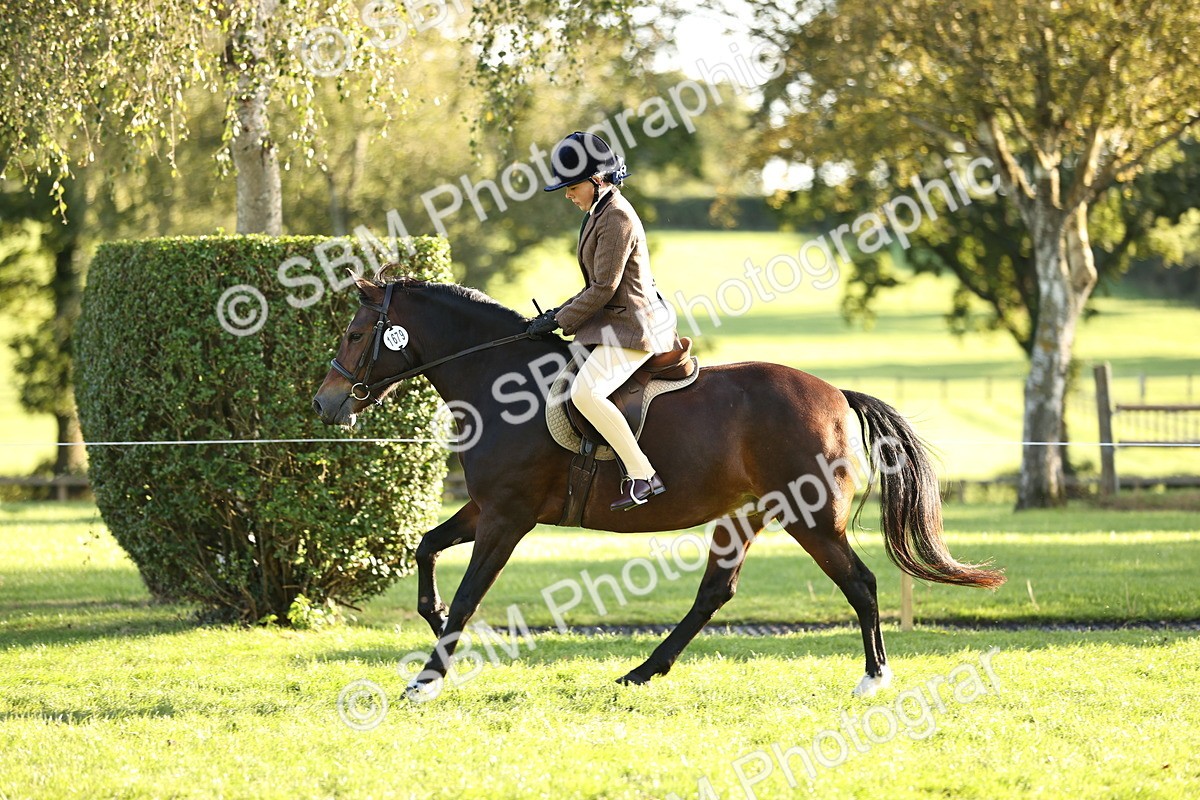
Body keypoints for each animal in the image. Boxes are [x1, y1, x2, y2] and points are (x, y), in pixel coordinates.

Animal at [312, 275, 1004, 700]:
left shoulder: (508, 518)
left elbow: (468, 594)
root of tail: (835, 393)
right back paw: (643, 671)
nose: (325, 403)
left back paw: (872, 678)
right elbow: (427, 548)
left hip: (810, 520)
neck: (500, 382)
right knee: (715, 593)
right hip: (744, 516)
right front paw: (431, 623)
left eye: (354, 334)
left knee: (859, 583)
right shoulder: (486, 507)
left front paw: (427, 678)